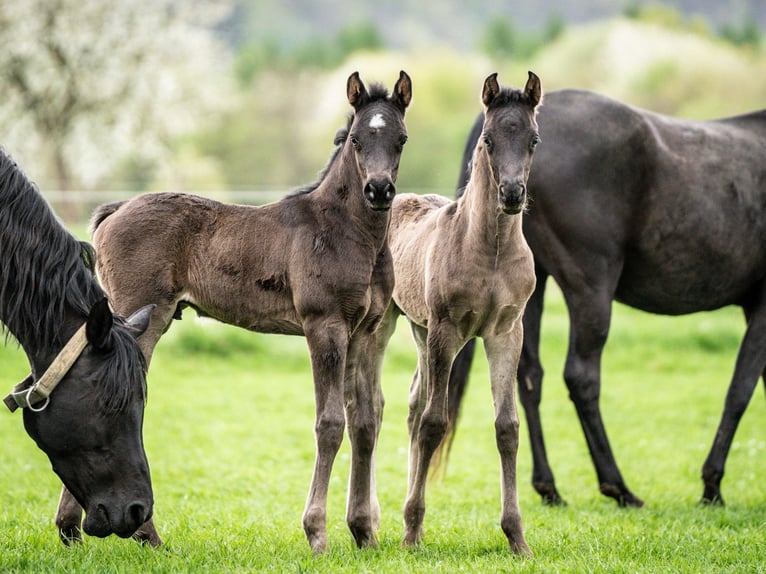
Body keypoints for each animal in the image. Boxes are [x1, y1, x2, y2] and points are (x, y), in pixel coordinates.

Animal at [55, 71, 414, 552]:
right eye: (356, 139)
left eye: (401, 139)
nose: (378, 190)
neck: (350, 232)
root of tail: (115, 211)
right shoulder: (325, 326)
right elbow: (330, 423)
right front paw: (317, 534)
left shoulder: (364, 332)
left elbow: (364, 422)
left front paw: (364, 534)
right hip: (142, 319)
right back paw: (143, 533)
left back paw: (71, 528)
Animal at [376, 73, 544, 560]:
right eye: (488, 139)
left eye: (533, 139)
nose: (512, 195)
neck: (490, 250)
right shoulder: (447, 330)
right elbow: (436, 422)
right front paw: (412, 532)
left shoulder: (506, 332)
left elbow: (507, 427)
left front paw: (517, 537)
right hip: (394, 324)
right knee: (405, 410)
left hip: (420, 329)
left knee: (414, 404)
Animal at [450, 89, 766, 508]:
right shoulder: (762, 308)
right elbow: (740, 390)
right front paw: (711, 485)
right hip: (591, 291)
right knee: (581, 377)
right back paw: (618, 486)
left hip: (530, 289)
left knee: (527, 376)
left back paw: (550, 487)